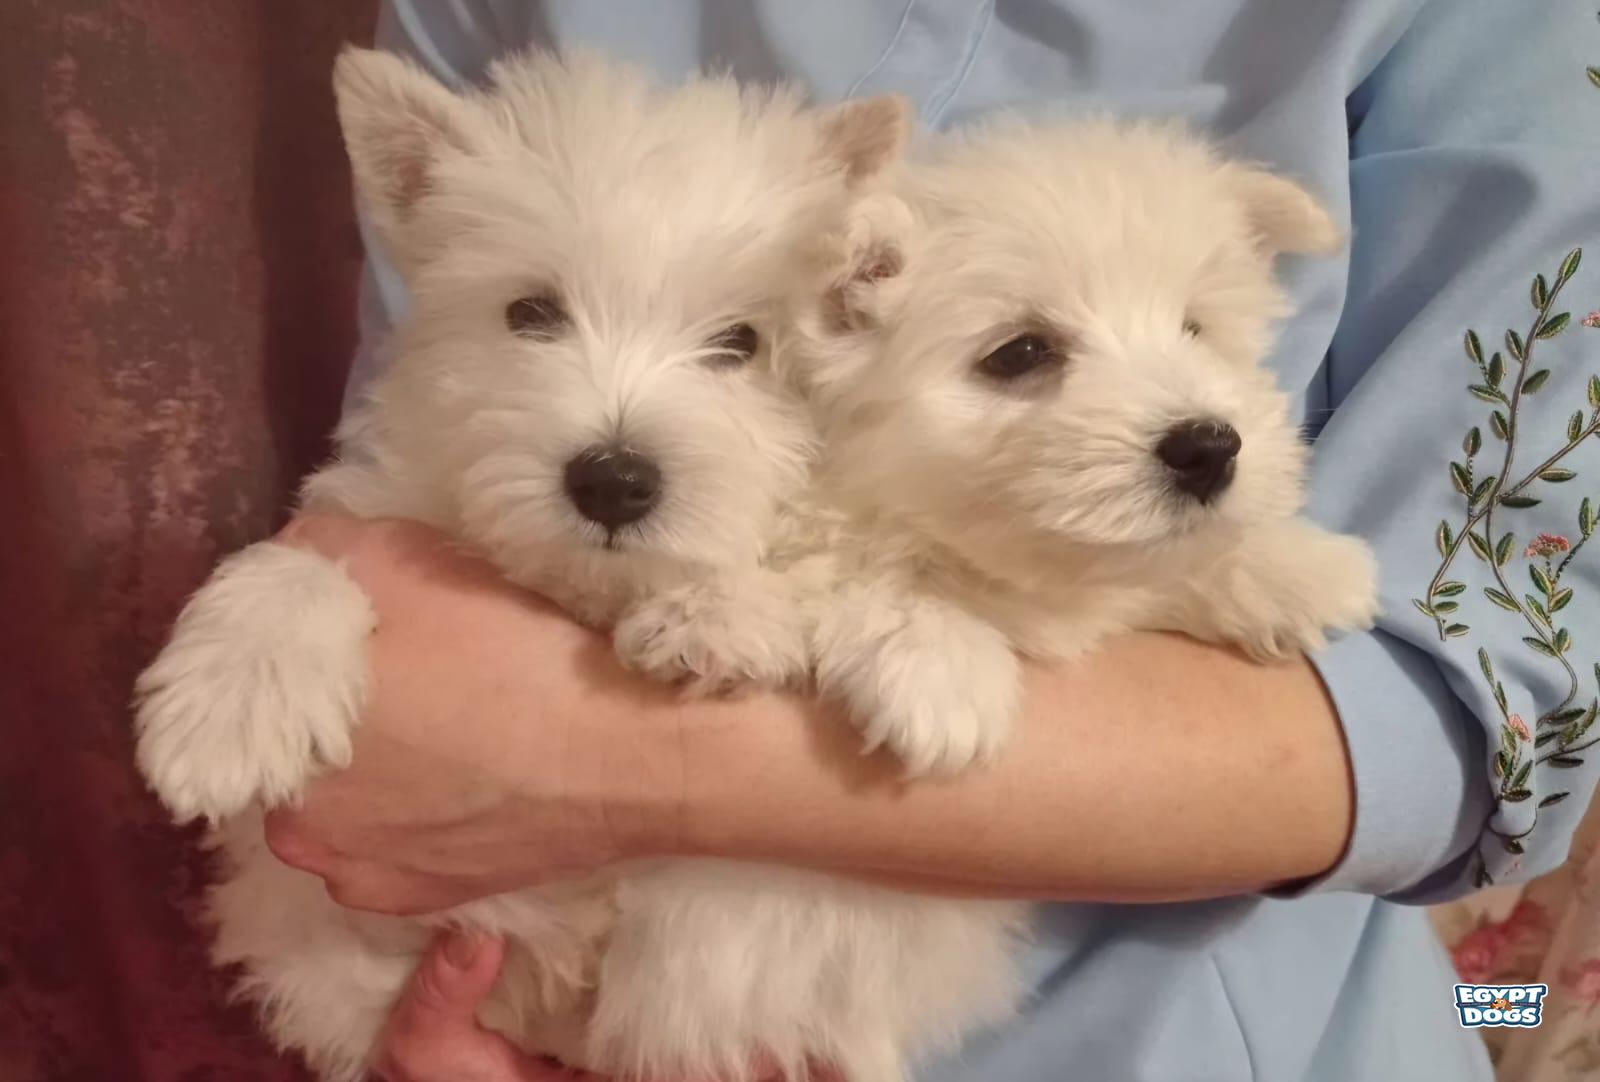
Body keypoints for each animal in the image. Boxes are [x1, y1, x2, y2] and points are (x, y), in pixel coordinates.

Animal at [134, 48, 1019, 1082]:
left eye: (741, 342)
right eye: (531, 313)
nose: (615, 480)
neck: (576, 585)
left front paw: (721, 614)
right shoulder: (374, 511)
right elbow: (294, 567)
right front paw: (227, 709)